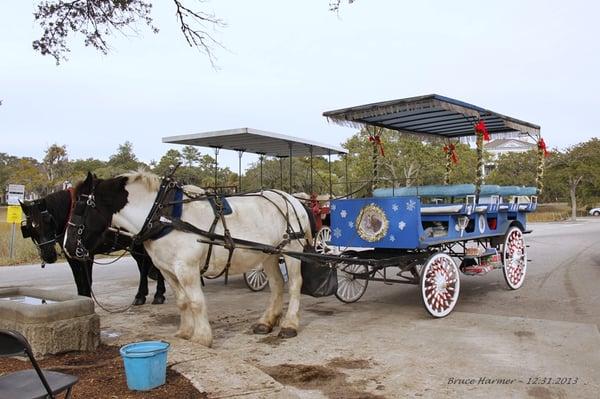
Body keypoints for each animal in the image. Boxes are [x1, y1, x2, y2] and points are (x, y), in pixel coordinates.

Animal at [19, 191, 165, 306]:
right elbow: (79, 281)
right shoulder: (72, 257)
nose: (48, 255)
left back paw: (158, 294)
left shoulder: (85, 255)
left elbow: (86, 280)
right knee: (143, 266)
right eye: (30, 228)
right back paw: (141, 295)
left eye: (49, 220)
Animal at [65, 172, 314, 346]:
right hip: (269, 254)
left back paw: (289, 325)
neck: (162, 215)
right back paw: (266, 321)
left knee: (294, 285)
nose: (67, 246)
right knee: (277, 285)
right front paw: (184, 333)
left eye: (81, 207)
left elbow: (196, 301)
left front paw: (202, 338)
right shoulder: (166, 269)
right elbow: (182, 301)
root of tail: (292, 199)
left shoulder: (187, 268)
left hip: (291, 250)